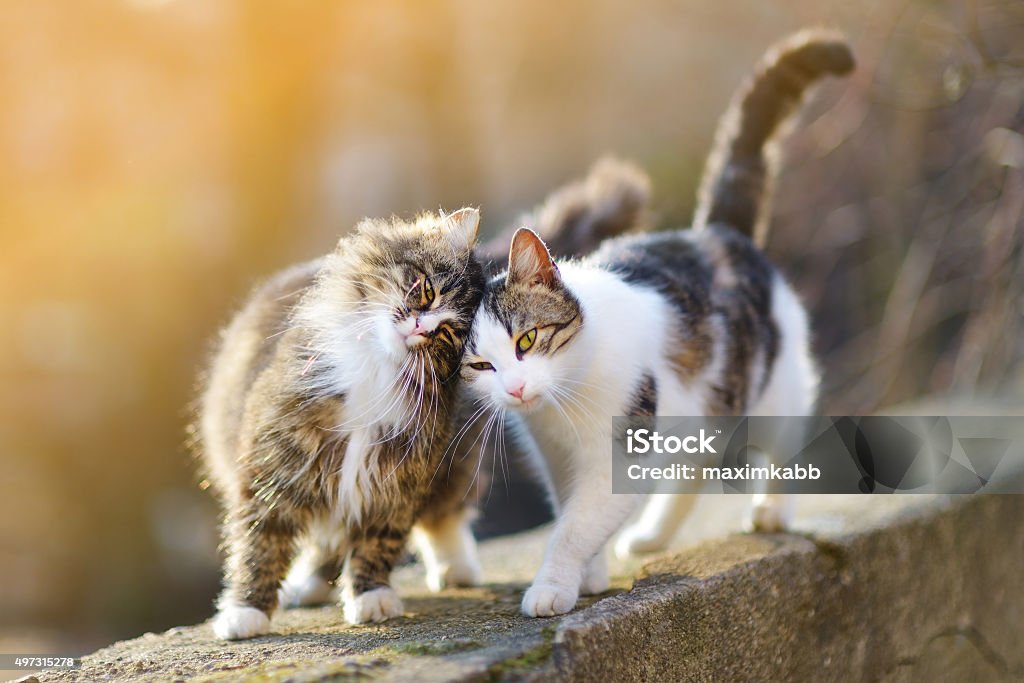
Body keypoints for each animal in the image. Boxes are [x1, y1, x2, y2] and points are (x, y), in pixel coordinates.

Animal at [460, 30, 851, 618]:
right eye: (480, 365)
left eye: (527, 339)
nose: (517, 388)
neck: (564, 402)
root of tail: (715, 232)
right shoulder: (558, 460)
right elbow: (572, 513)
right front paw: (589, 575)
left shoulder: (619, 458)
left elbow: (573, 528)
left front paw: (552, 587)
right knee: (696, 468)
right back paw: (652, 535)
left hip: (773, 392)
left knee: (783, 443)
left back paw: (773, 510)